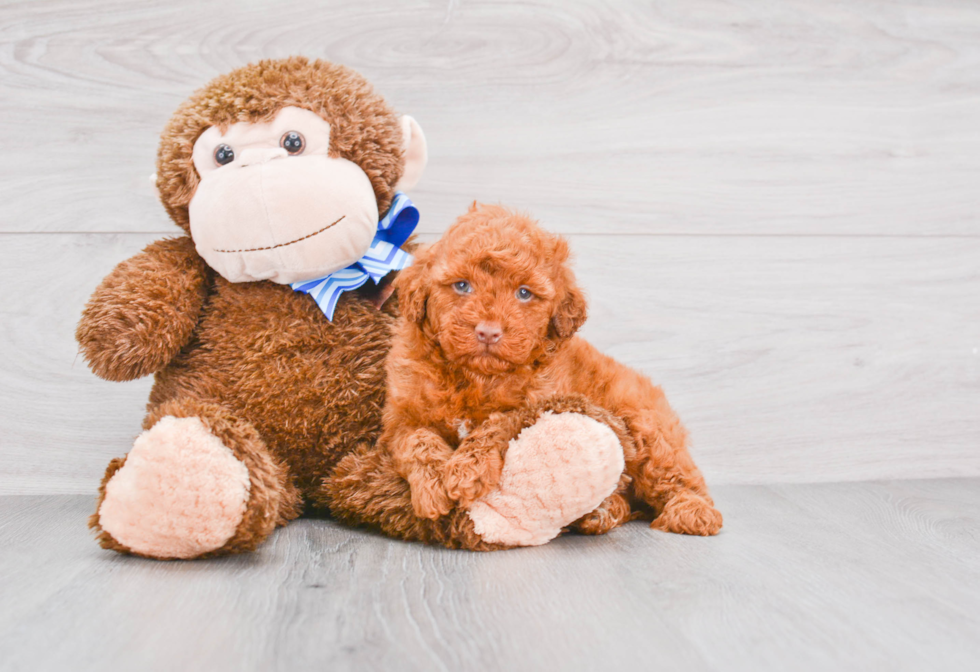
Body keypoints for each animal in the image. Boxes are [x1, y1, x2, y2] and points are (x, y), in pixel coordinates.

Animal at [378, 202, 724, 540]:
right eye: (462, 286)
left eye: (523, 293)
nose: (488, 332)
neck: (477, 376)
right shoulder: (401, 416)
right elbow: (417, 439)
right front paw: (434, 483)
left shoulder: (537, 403)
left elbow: (496, 423)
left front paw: (466, 470)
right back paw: (602, 512)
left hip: (646, 426)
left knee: (677, 475)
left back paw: (692, 511)